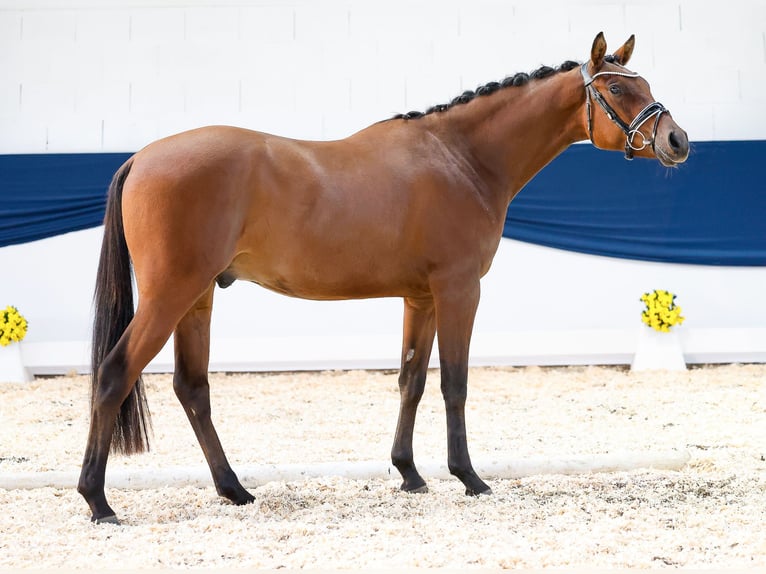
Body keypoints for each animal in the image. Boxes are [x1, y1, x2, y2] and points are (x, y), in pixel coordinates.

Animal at [76, 32, 688, 528]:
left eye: (645, 84)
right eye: (617, 89)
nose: (677, 141)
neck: (462, 158)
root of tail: (141, 158)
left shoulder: (420, 298)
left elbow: (410, 380)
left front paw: (409, 474)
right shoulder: (460, 290)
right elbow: (454, 383)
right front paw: (469, 477)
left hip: (197, 298)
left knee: (192, 388)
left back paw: (234, 490)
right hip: (170, 294)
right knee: (114, 374)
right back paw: (99, 501)